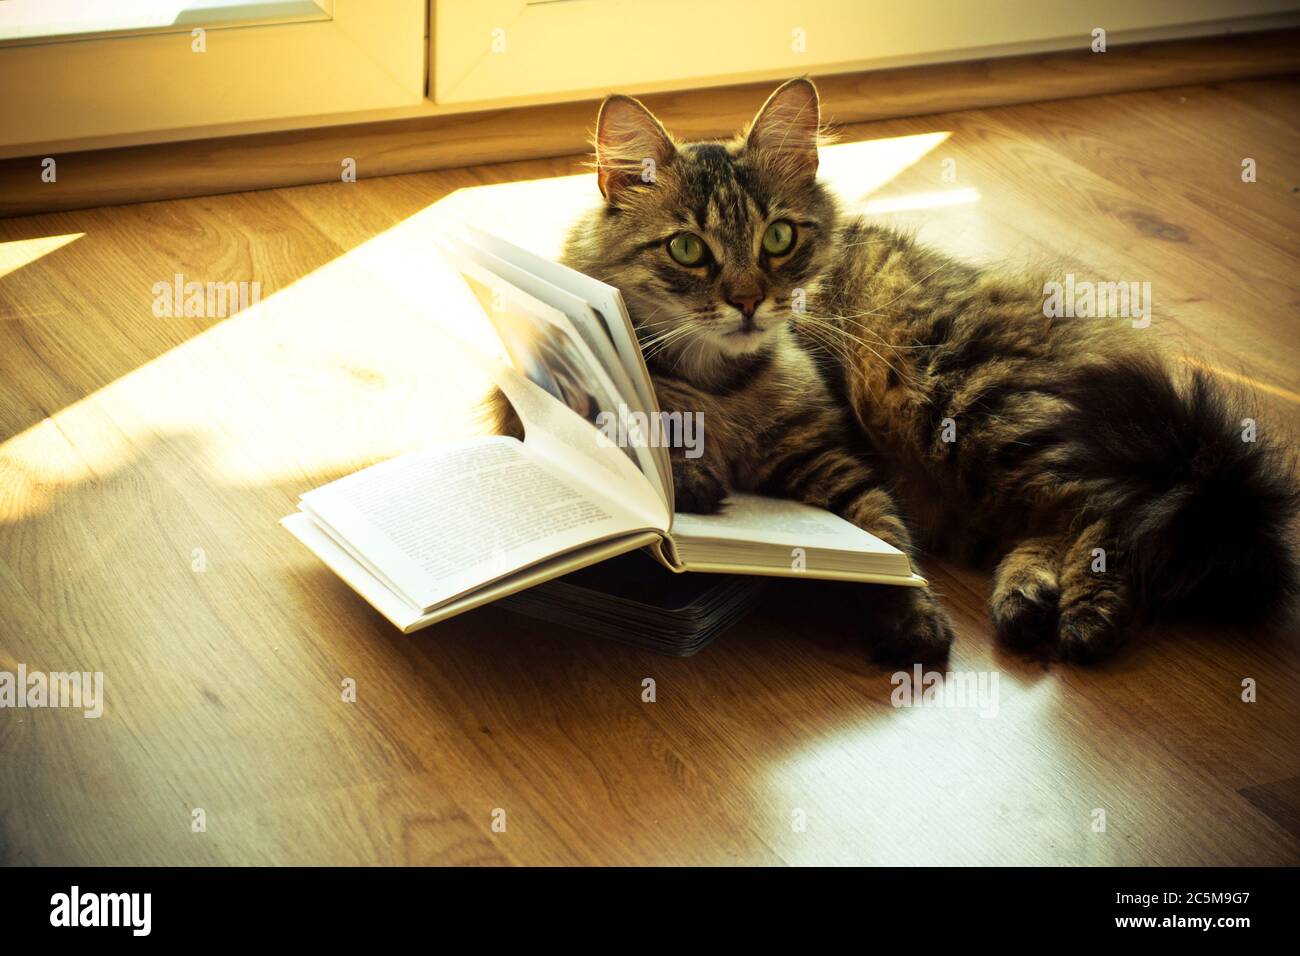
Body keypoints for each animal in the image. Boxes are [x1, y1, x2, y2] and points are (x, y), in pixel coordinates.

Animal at [483, 78, 1294, 660]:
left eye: (778, 238)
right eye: (688, 250)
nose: (747, 301)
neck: (721, 383)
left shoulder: (835, 459)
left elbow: (887, 546)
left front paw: (912, 621)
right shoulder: (540, 409)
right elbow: (641, 453)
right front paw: (694, 475)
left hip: (960, 405)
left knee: (1111, 514)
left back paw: (1084, 616)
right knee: (1071, 517)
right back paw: (1031, 596)